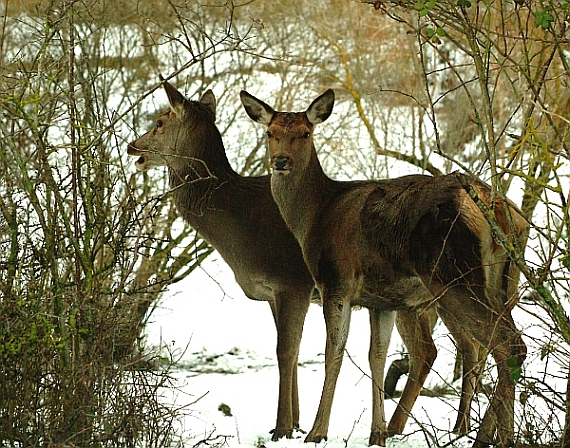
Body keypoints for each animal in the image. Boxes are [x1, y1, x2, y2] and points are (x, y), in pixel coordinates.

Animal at [240, 88, 528, 448]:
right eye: (270, 132)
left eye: (305, 133)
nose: (280, 161)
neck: (314, 216)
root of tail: (499, 211)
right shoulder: (382, 300)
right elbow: (376, 355)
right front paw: (377, 432)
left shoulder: (336, 281)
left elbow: (333, 352)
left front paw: (317, 432)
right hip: (501, 282)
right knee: (504, 345)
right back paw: (492, 434)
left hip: (453, 276)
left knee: (505, 345)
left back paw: (494, 437)